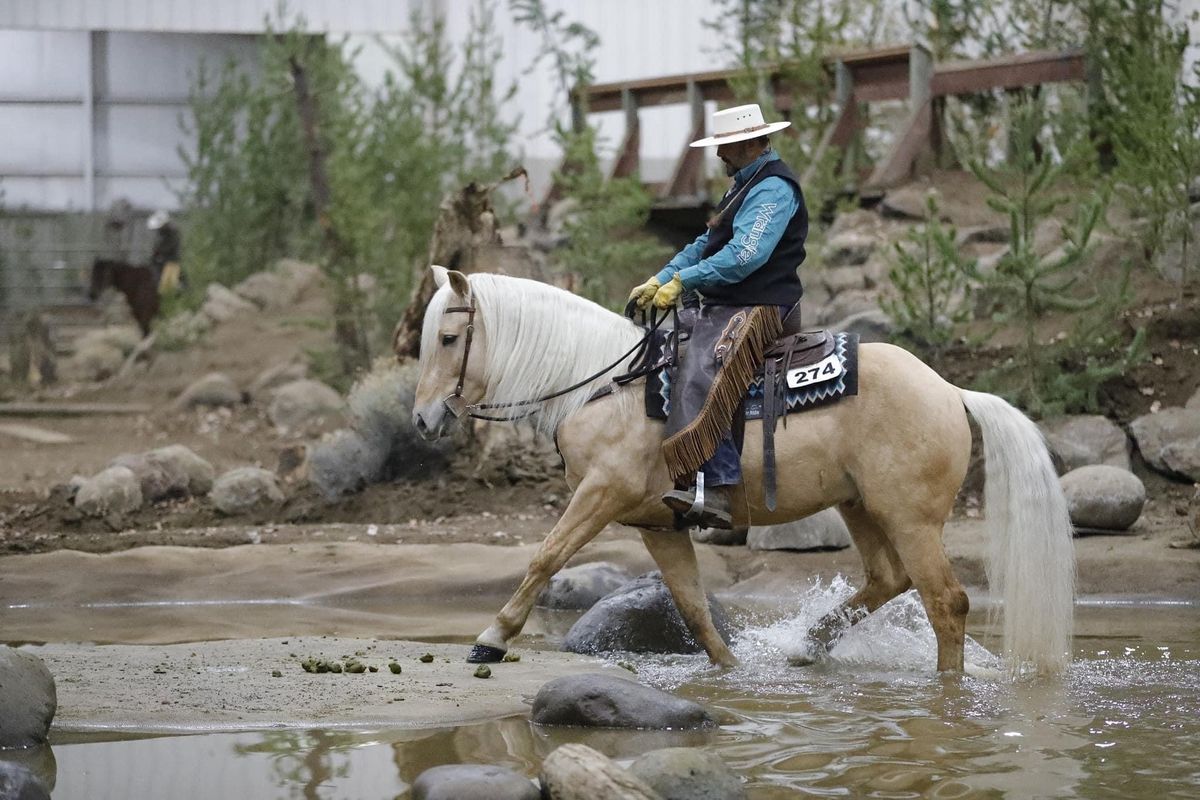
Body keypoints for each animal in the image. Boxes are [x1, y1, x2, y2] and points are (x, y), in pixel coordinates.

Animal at [408, 267, 1075, 676]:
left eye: (448, 338)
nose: (421, 420)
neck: (604, 385)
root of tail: (951, 390)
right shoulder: (657, 525)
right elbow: (693, 605)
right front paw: (730, 671)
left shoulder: (601, 495)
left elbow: (545, 557)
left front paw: (491, 640)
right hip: (862, 506)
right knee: (889, 579)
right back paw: (808, 645)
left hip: (910, 518)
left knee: (947, 602)